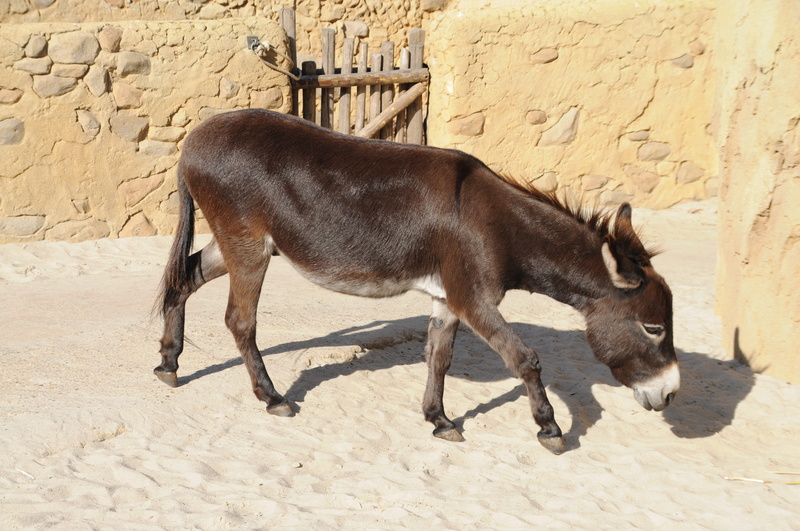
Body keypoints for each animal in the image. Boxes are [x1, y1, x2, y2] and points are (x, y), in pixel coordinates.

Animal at [155, 109, 679, 455]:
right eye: (653, 328)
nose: (671, 395)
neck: (498, 226)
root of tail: (194, 139)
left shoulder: (448, 298)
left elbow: (439, 358)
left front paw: (439, 419)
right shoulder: (473, 298)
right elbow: (525, 359)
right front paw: (549, 430)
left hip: (236, 243)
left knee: (184, 279)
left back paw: (168, 363)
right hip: (248, 246)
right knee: (240, 321)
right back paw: (273, 398)